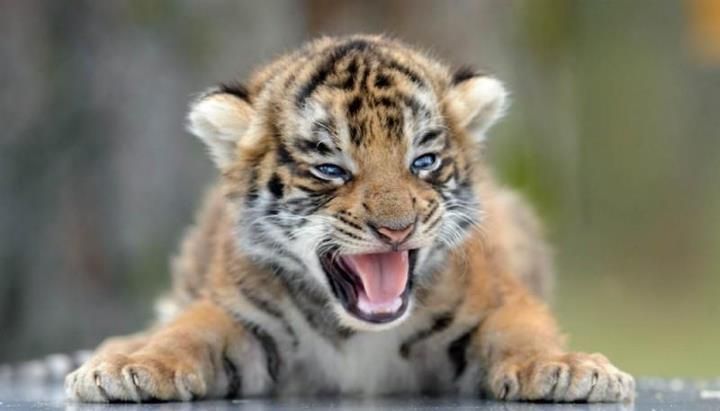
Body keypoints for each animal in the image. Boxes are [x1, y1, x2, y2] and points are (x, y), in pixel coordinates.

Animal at [64, 34, 634, 403]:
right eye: (331, 169)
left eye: (423, 161)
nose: (396, 228)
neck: (358, 332)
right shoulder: (237, 313)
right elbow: (185, 333)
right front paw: (134, 367)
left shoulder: (498, 299)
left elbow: (525, 334)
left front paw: (566, 370)